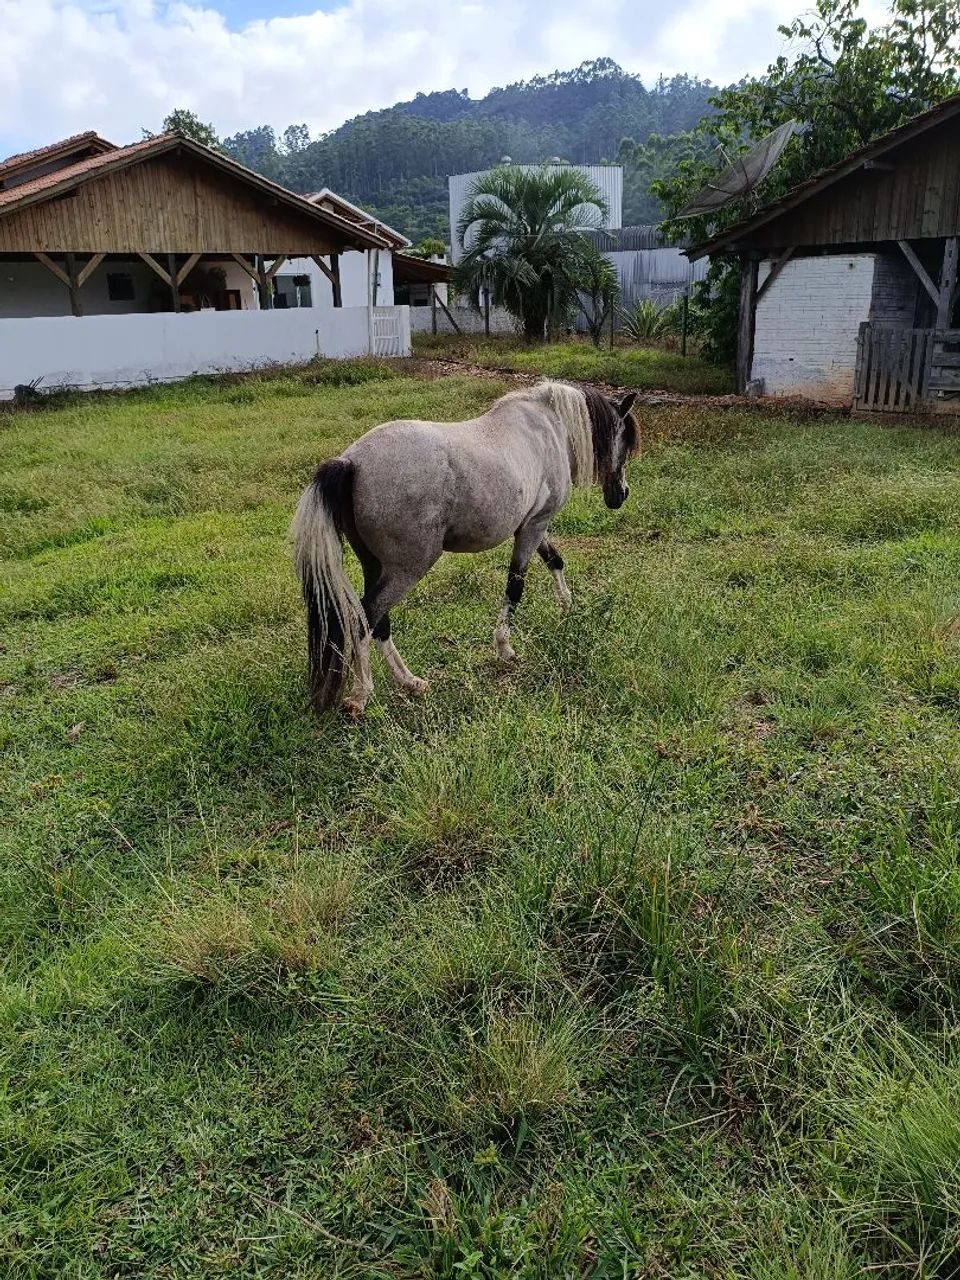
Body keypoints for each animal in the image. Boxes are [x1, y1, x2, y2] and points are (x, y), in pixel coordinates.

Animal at [292, 380, 638, 715]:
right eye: (624, 441)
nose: (621, 494)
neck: (550, 428)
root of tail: (351, 462)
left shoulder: (531, 526)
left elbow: (555, 561)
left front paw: (566, 606)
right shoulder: (534, 526)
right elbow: (515, 587)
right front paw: (505, 648)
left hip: (374, 565)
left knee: (378, 623)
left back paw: (410, 682)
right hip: (407, 569)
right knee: (363, 619)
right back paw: (361, 695)